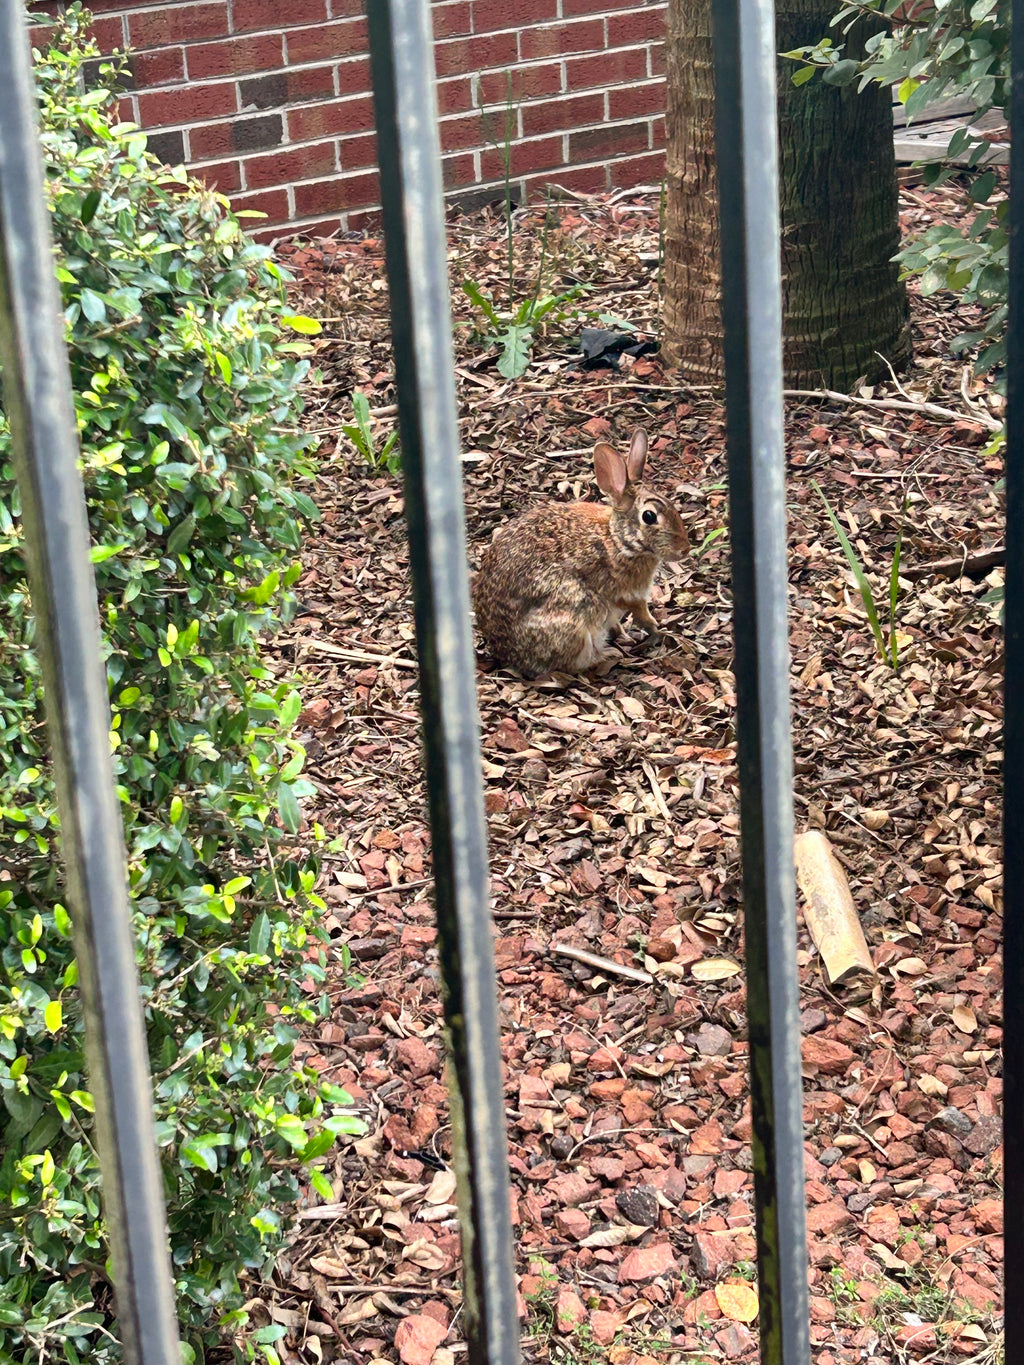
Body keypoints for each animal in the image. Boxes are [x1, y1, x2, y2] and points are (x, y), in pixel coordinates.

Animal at [473, 428, 689, 678]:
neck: (618, 539)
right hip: (575, 617)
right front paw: (658, 631)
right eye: (649, 516)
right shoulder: (631, 594)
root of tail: (503, 652)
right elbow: (642, 615)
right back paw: (608, 656)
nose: (685, 549)